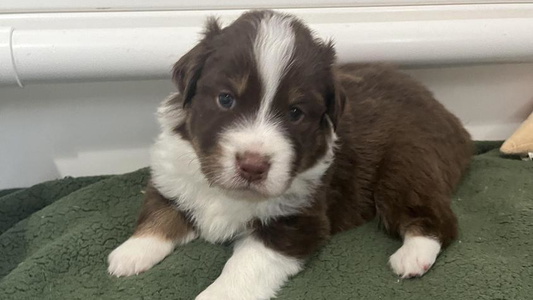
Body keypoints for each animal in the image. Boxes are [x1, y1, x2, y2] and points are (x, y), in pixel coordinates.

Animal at [107, 9, 470, 300]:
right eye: (226, 99)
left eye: (295, 112)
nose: (253, 166)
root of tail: (449, 116)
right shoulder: (172, 175)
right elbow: (159, 211)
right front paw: (130, 253)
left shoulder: (297, 220)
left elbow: (244, 266)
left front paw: (217, 295)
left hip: (407, 163)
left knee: (439, 218)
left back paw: (413, 256)